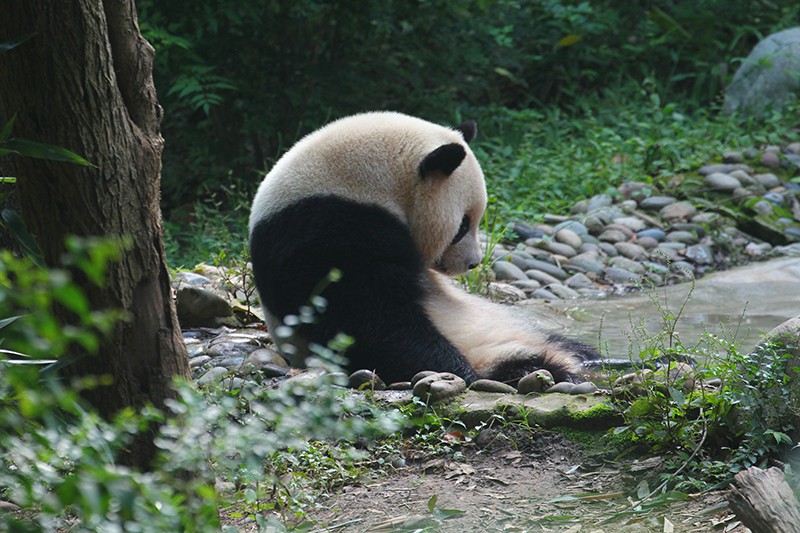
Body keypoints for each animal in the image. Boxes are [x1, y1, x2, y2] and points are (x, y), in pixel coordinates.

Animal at [248, 111, 597, 385]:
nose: (473, 263)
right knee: (519, 363)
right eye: (462, 226)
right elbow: (367, 316)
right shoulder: (324, 230)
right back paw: (540, 371)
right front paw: (457, 372)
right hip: (489, 348)